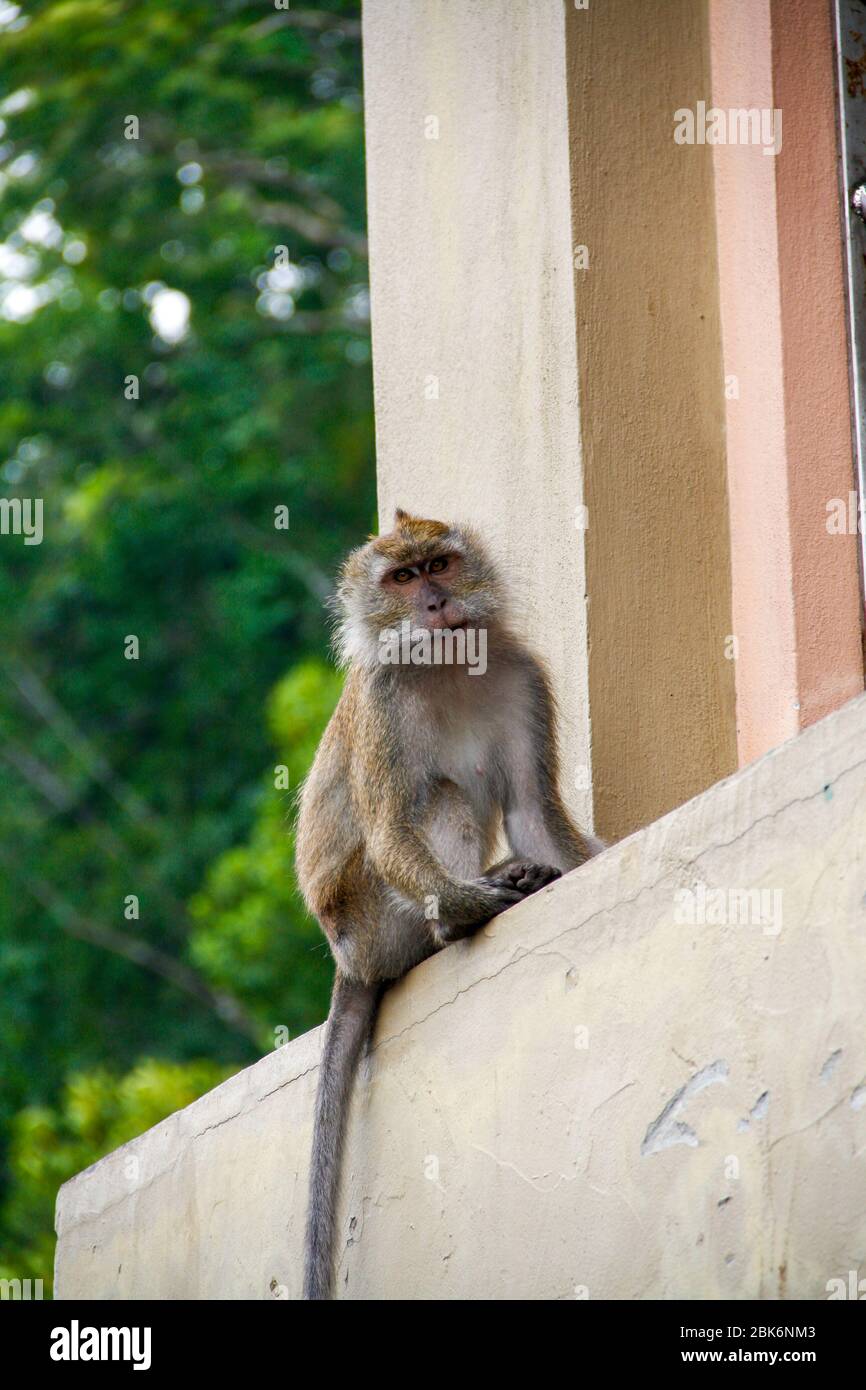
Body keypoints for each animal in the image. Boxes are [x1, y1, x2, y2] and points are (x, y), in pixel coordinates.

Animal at [294, 505, 600, 1295]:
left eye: (438, 566)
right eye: (402, 579)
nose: (433, 604)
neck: (446, 663)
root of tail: (349, 960)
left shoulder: (524, 676)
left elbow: (533, 814)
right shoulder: (382, 703)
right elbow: (391, 829)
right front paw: (471, 904)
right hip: (371, 919)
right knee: (445, 799)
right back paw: (453, 925)